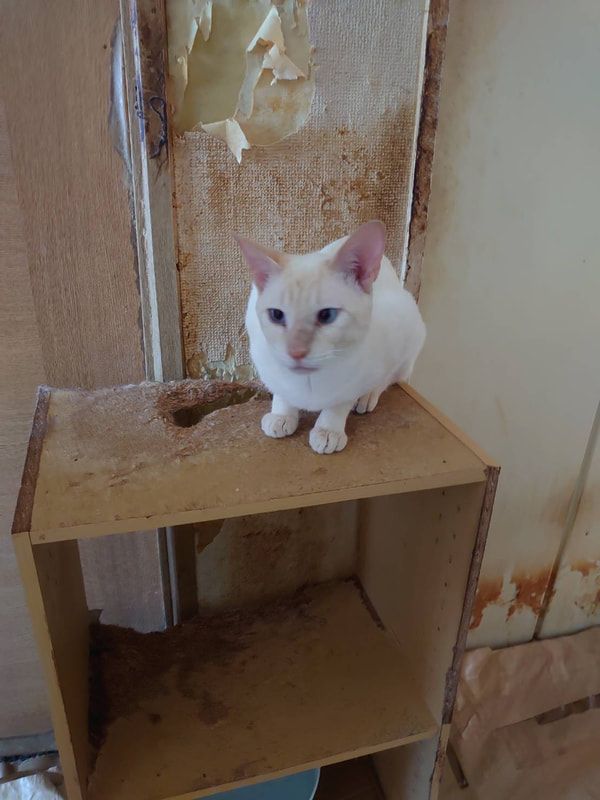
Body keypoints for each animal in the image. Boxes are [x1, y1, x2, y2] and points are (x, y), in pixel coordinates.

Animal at [237, 222, 424, 454]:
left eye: (327, 315)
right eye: (276, 315)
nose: (296, 352)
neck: (309, 383)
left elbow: (340, 402)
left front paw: (328, 430)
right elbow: (280, 391)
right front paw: (281, 416)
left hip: (409, 333)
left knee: (388, 378)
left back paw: (367, 397)